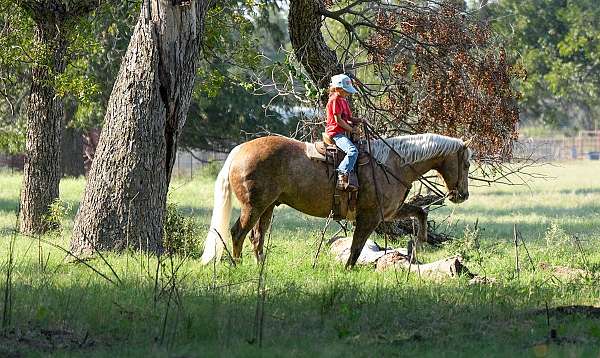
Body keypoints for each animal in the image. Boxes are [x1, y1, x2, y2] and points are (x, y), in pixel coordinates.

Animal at [199, 133, 472, 268]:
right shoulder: (369, 216)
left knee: (257, 237)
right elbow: (356, 247)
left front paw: (422, 239)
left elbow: (420, 212)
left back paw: (259, 266)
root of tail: (239, 150)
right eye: (467, 163)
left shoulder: (389, 212)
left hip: (266, 207)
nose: (463, 195)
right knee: (238, 233)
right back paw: (238, 265)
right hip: (253, 206)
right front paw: (348, 270)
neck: (392, 164)